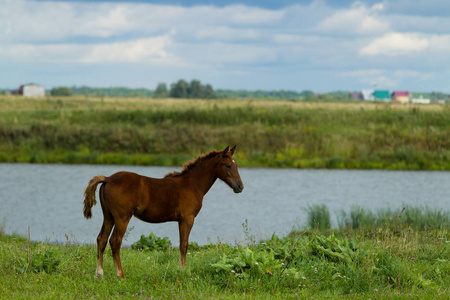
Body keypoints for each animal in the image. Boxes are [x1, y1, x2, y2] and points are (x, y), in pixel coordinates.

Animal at [81, 146, 243, 278]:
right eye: (228, 165)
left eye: (236, 165)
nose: (240, 187)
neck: (192, 184)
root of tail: (108, 179)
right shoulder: (187, 218)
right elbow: (184, 245)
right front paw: (183, 271)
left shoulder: (181, 220)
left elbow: (182, 244)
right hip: (122, 217)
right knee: (115, 241)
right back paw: (120, 275)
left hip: (109, 216)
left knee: (101, 239)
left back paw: (99, 273)